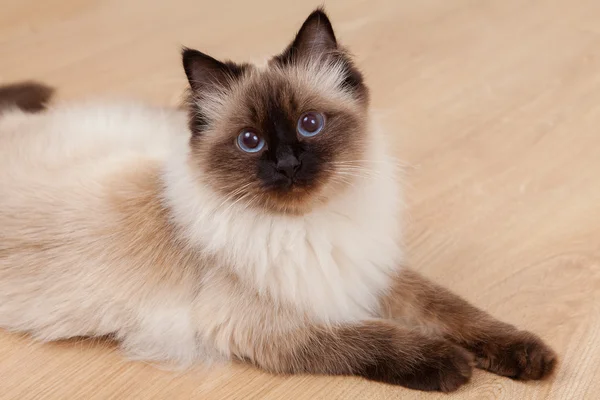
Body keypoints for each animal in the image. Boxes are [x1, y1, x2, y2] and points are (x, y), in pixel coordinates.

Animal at [0, 8, 556, 390]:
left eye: (310, 124)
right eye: (251, 141)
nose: (288, 164)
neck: (311, 225)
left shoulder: (369, 268)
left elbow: (455, 309)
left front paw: (532, 357)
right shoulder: (273, 326)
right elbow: (371, 340)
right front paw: (448, 363)